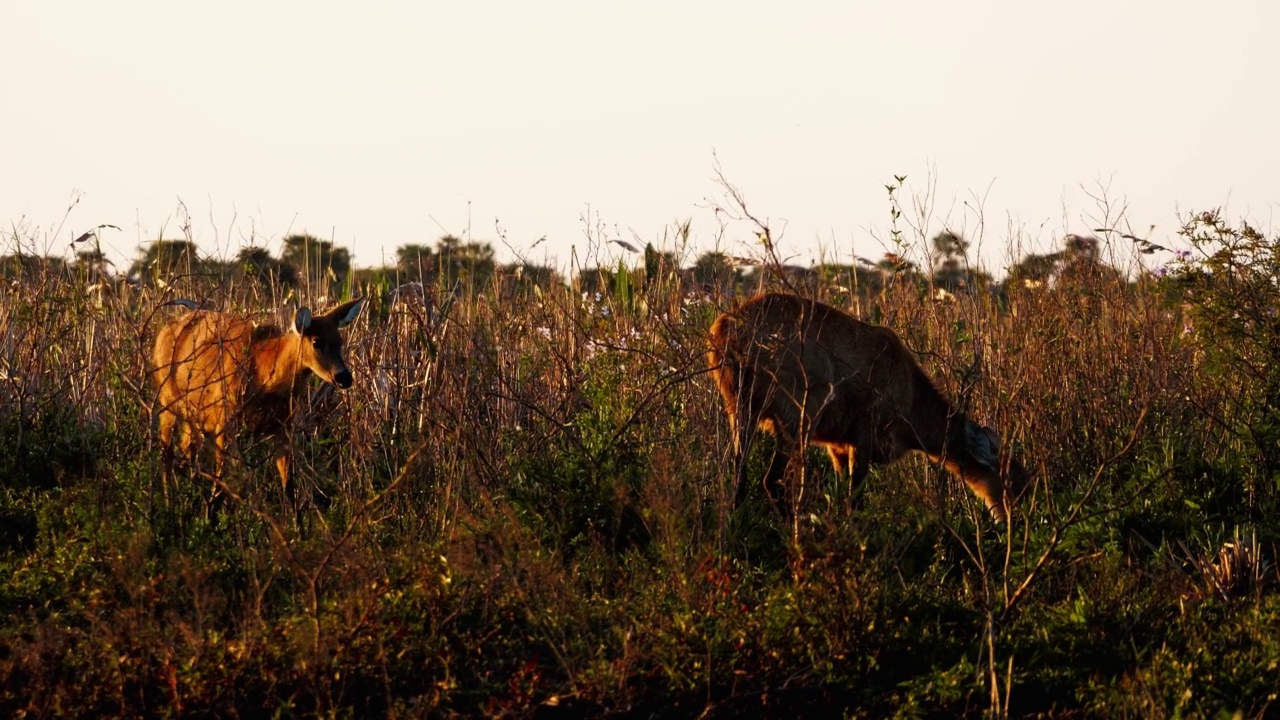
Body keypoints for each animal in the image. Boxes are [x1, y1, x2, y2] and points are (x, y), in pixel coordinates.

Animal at [153, 295, 371, 509]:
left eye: (340, 341)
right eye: (317, 342)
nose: (345, 378)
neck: (264, 379)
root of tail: (164, 330)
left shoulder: (284, 427)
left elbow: (289, 489)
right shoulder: (225, 422)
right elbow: (219, 490)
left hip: (193, 417)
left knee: (186, 450)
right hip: (167, 400)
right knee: (166, 454)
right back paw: (168, 503)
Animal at [706, 292, 1024, 520]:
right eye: (1012, 479)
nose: (1016, 520)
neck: (912, 403)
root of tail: (725, 329)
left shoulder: (837, 445)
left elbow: (842, 494)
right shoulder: (864, 434)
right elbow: (855, 501)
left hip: (740, 409)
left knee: (738, 475)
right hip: (798, 416)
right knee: (771, 481)